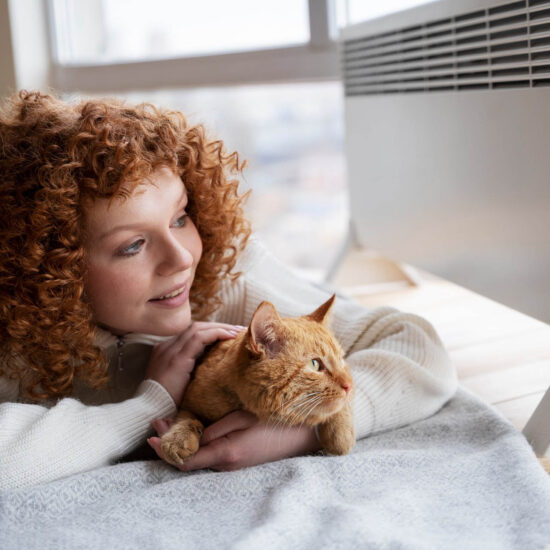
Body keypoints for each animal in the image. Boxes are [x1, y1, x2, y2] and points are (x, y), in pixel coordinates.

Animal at [160, 294, 355, 466]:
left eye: (341, 359)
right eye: (315, 364)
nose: (349, 386)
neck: (239, 403)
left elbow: (338, 409)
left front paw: (341, 433)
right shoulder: (189, 403)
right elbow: (186, 417)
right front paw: (177, 438)